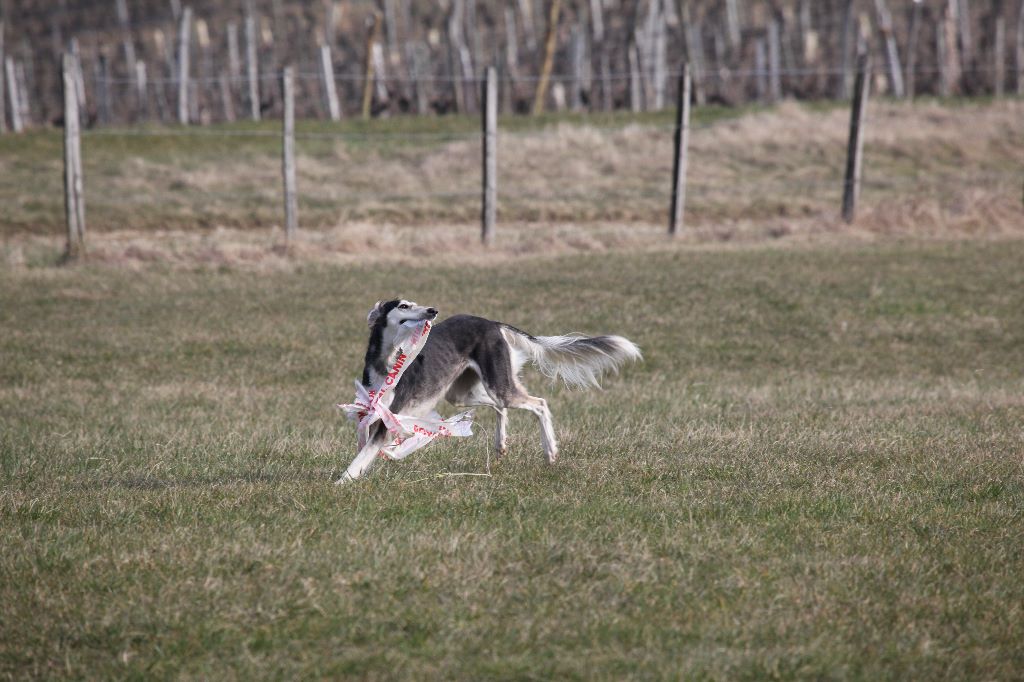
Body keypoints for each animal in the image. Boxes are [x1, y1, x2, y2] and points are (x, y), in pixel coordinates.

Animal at [335, 299, 638, 483]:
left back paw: (550, 450)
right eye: (404, 305)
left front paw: (342, 482)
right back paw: (500, 444)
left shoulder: (388, 419)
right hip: (460, 394)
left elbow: (362, 455)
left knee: (538, 403)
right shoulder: (374, 413)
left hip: (498, 385)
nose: (433, 310)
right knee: (499, 407)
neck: (388, 362)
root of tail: (492, 323)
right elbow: (366, 448)